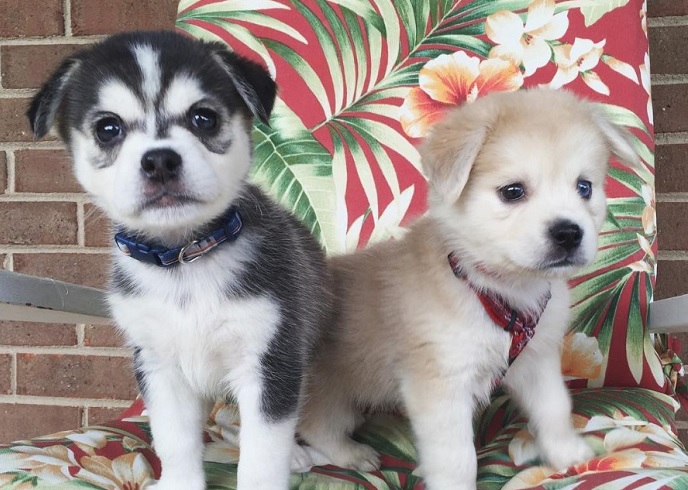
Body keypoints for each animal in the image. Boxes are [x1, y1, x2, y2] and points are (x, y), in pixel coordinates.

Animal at [28, 31, 334, 490]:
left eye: (203, 118)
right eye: (107, 129)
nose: (159, 160)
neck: (183, 262)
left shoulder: (270, 362)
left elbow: (262, 457)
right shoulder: (159, 367)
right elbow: (174, 442)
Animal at [298, 88, 644, 490]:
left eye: (584, 187)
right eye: (513, 191)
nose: (569, 233)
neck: (497, 289)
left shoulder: (536, 362)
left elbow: (555, 409)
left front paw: (567, 453)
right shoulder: (441, 388)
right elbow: (457, 458)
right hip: (328, 396)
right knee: (316, 428)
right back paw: (344, 454)